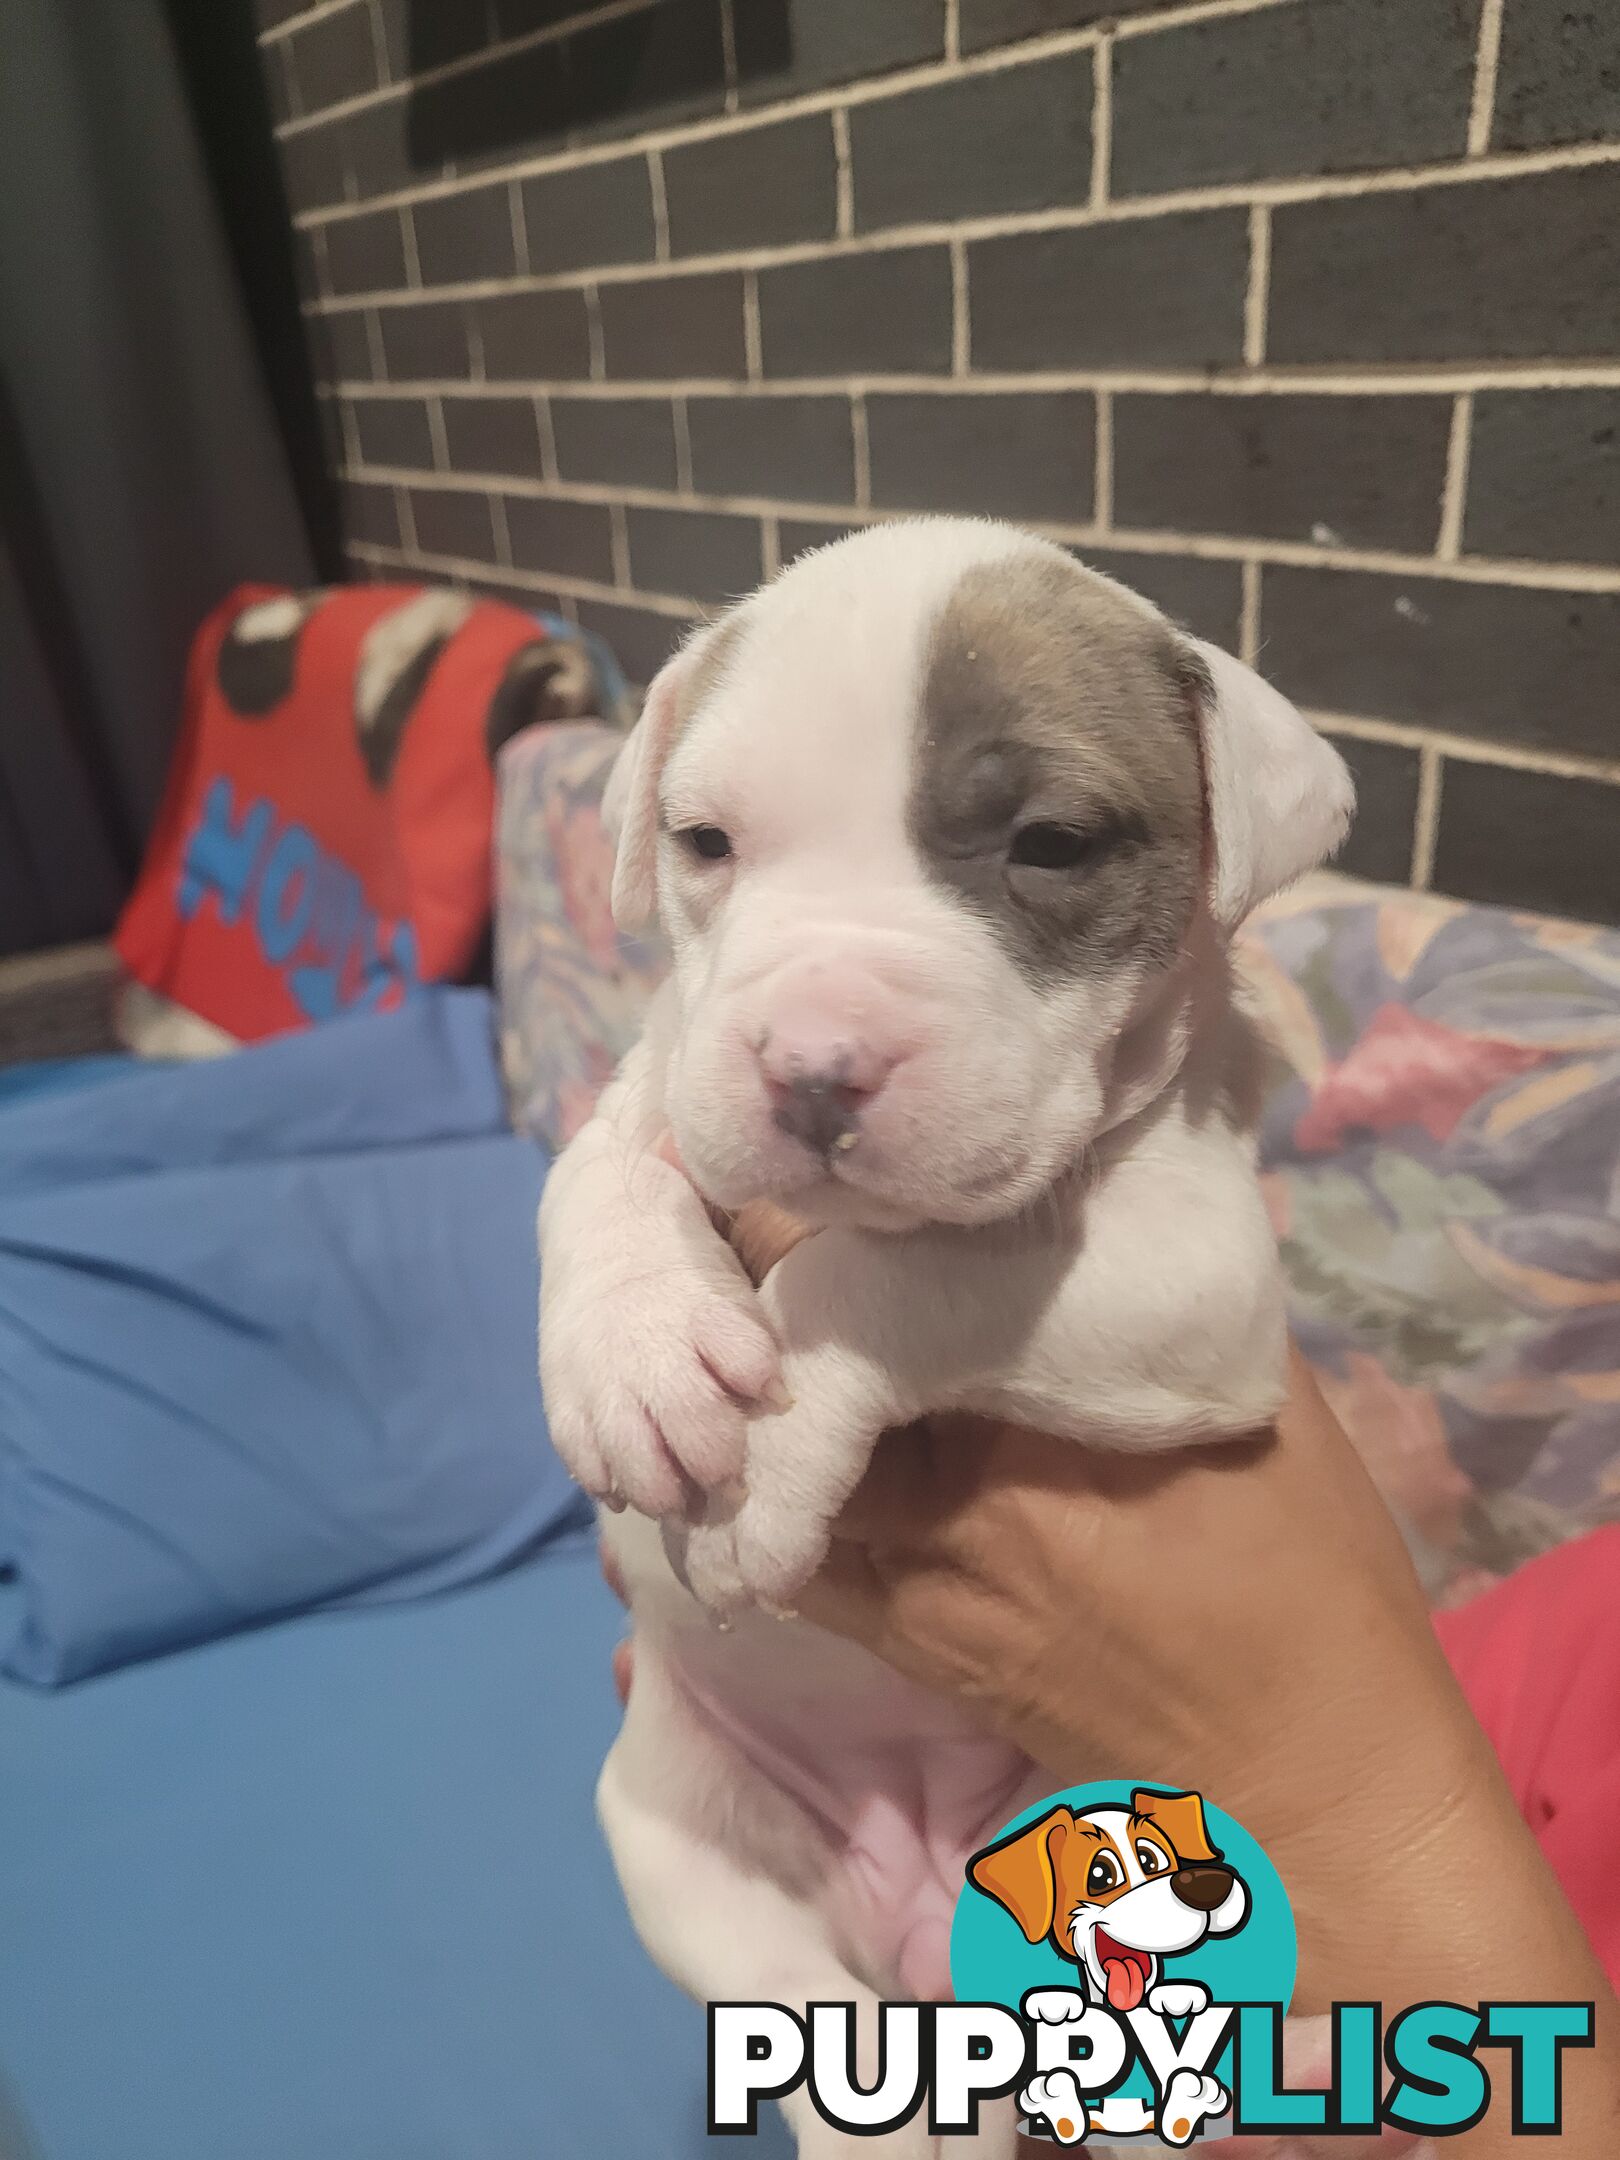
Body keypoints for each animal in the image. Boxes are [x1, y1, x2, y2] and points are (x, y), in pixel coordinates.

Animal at [540, 514, 1347, 2151]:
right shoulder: (662, 1082)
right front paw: (637, 1357)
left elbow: (914, 1272)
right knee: (809, 2027)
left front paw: (771, 1454)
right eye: (702, 842)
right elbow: (601, 1181)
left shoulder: (1192, 1273)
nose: (811, 1065)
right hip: (679, 1834)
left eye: (1051, 846)